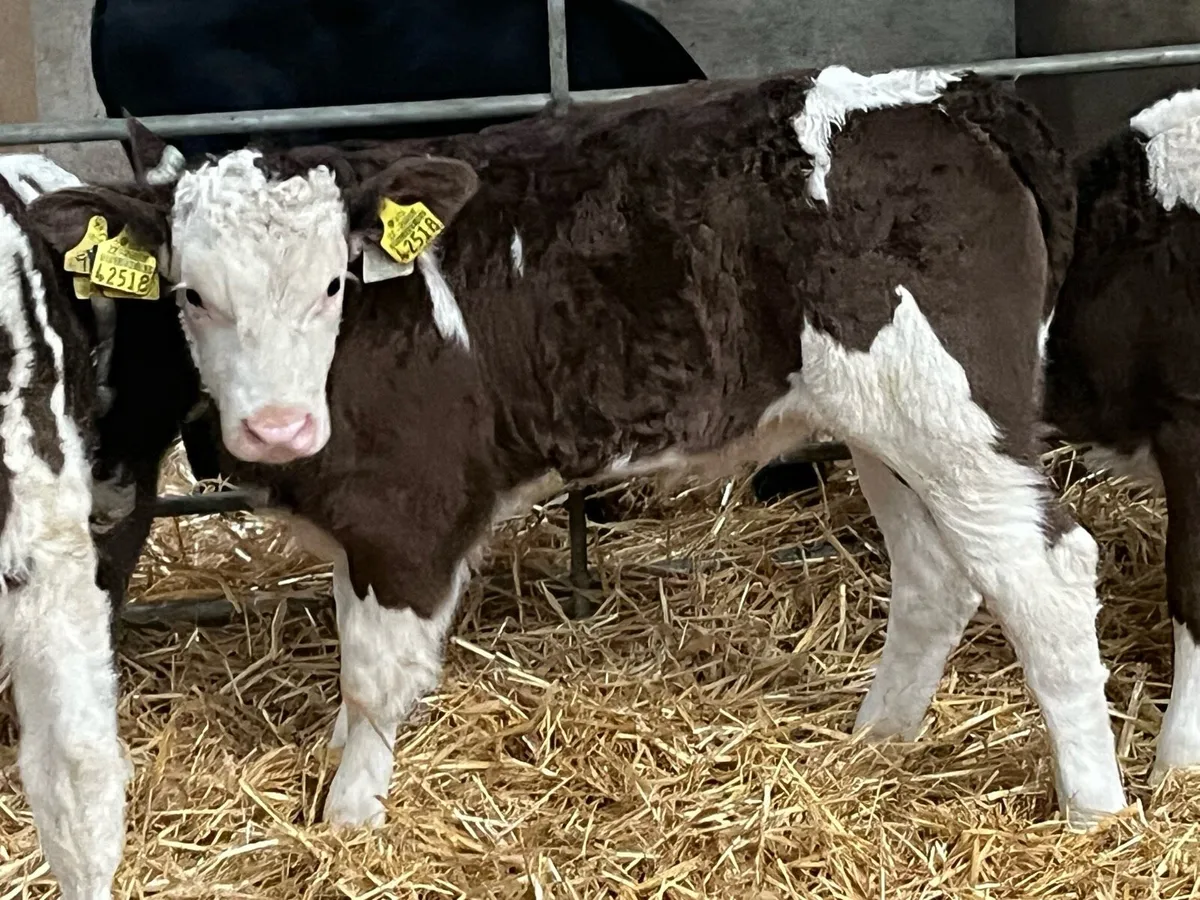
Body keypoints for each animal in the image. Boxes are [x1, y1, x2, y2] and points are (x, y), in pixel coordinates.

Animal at [29, 65, 1128, 837]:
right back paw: (877, 744)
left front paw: (348, 820)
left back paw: (1094, 810)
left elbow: (375, 681)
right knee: (938, 574)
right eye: (189, 293)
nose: (277, 428)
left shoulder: (408, 512)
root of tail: (944, 94)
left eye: (332, 284)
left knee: (1046, 577)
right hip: (890, 424)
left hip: (955, 414)